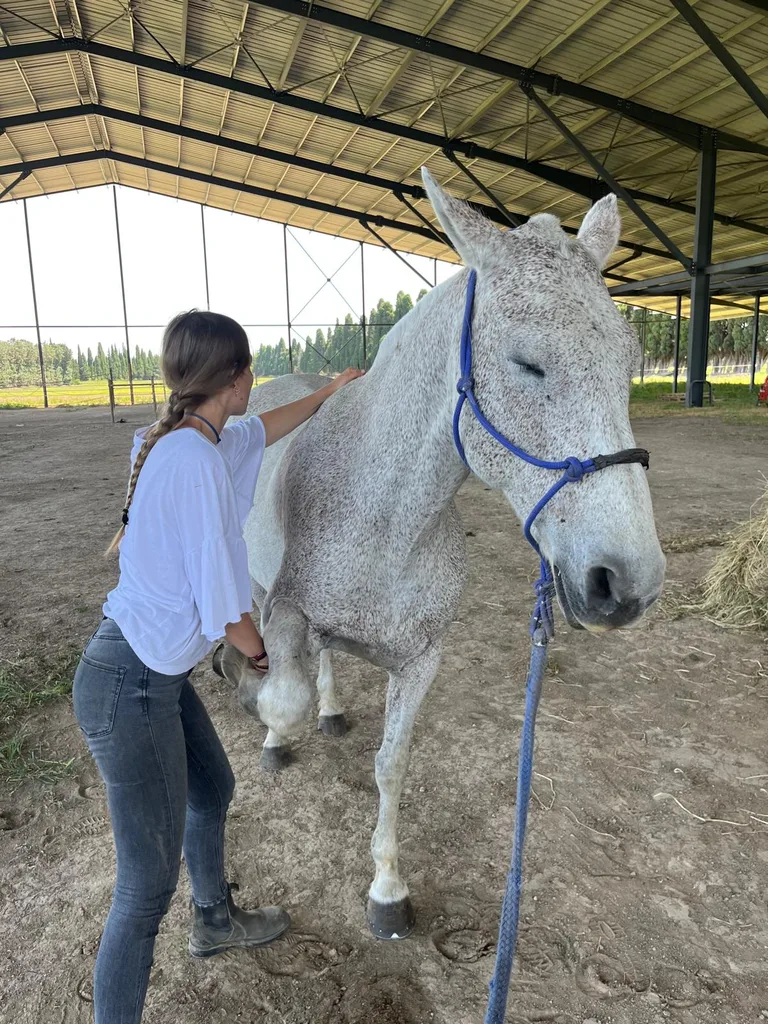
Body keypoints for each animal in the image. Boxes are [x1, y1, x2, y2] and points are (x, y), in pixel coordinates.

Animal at [213, 169, 665, 939]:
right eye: (527, 363)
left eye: (629, 364)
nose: (628, 581)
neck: (384, 521)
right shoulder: (287, 609)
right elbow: (283, 694)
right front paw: (257, 704)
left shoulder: (422, 659)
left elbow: (390, 764)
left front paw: (388, 889)